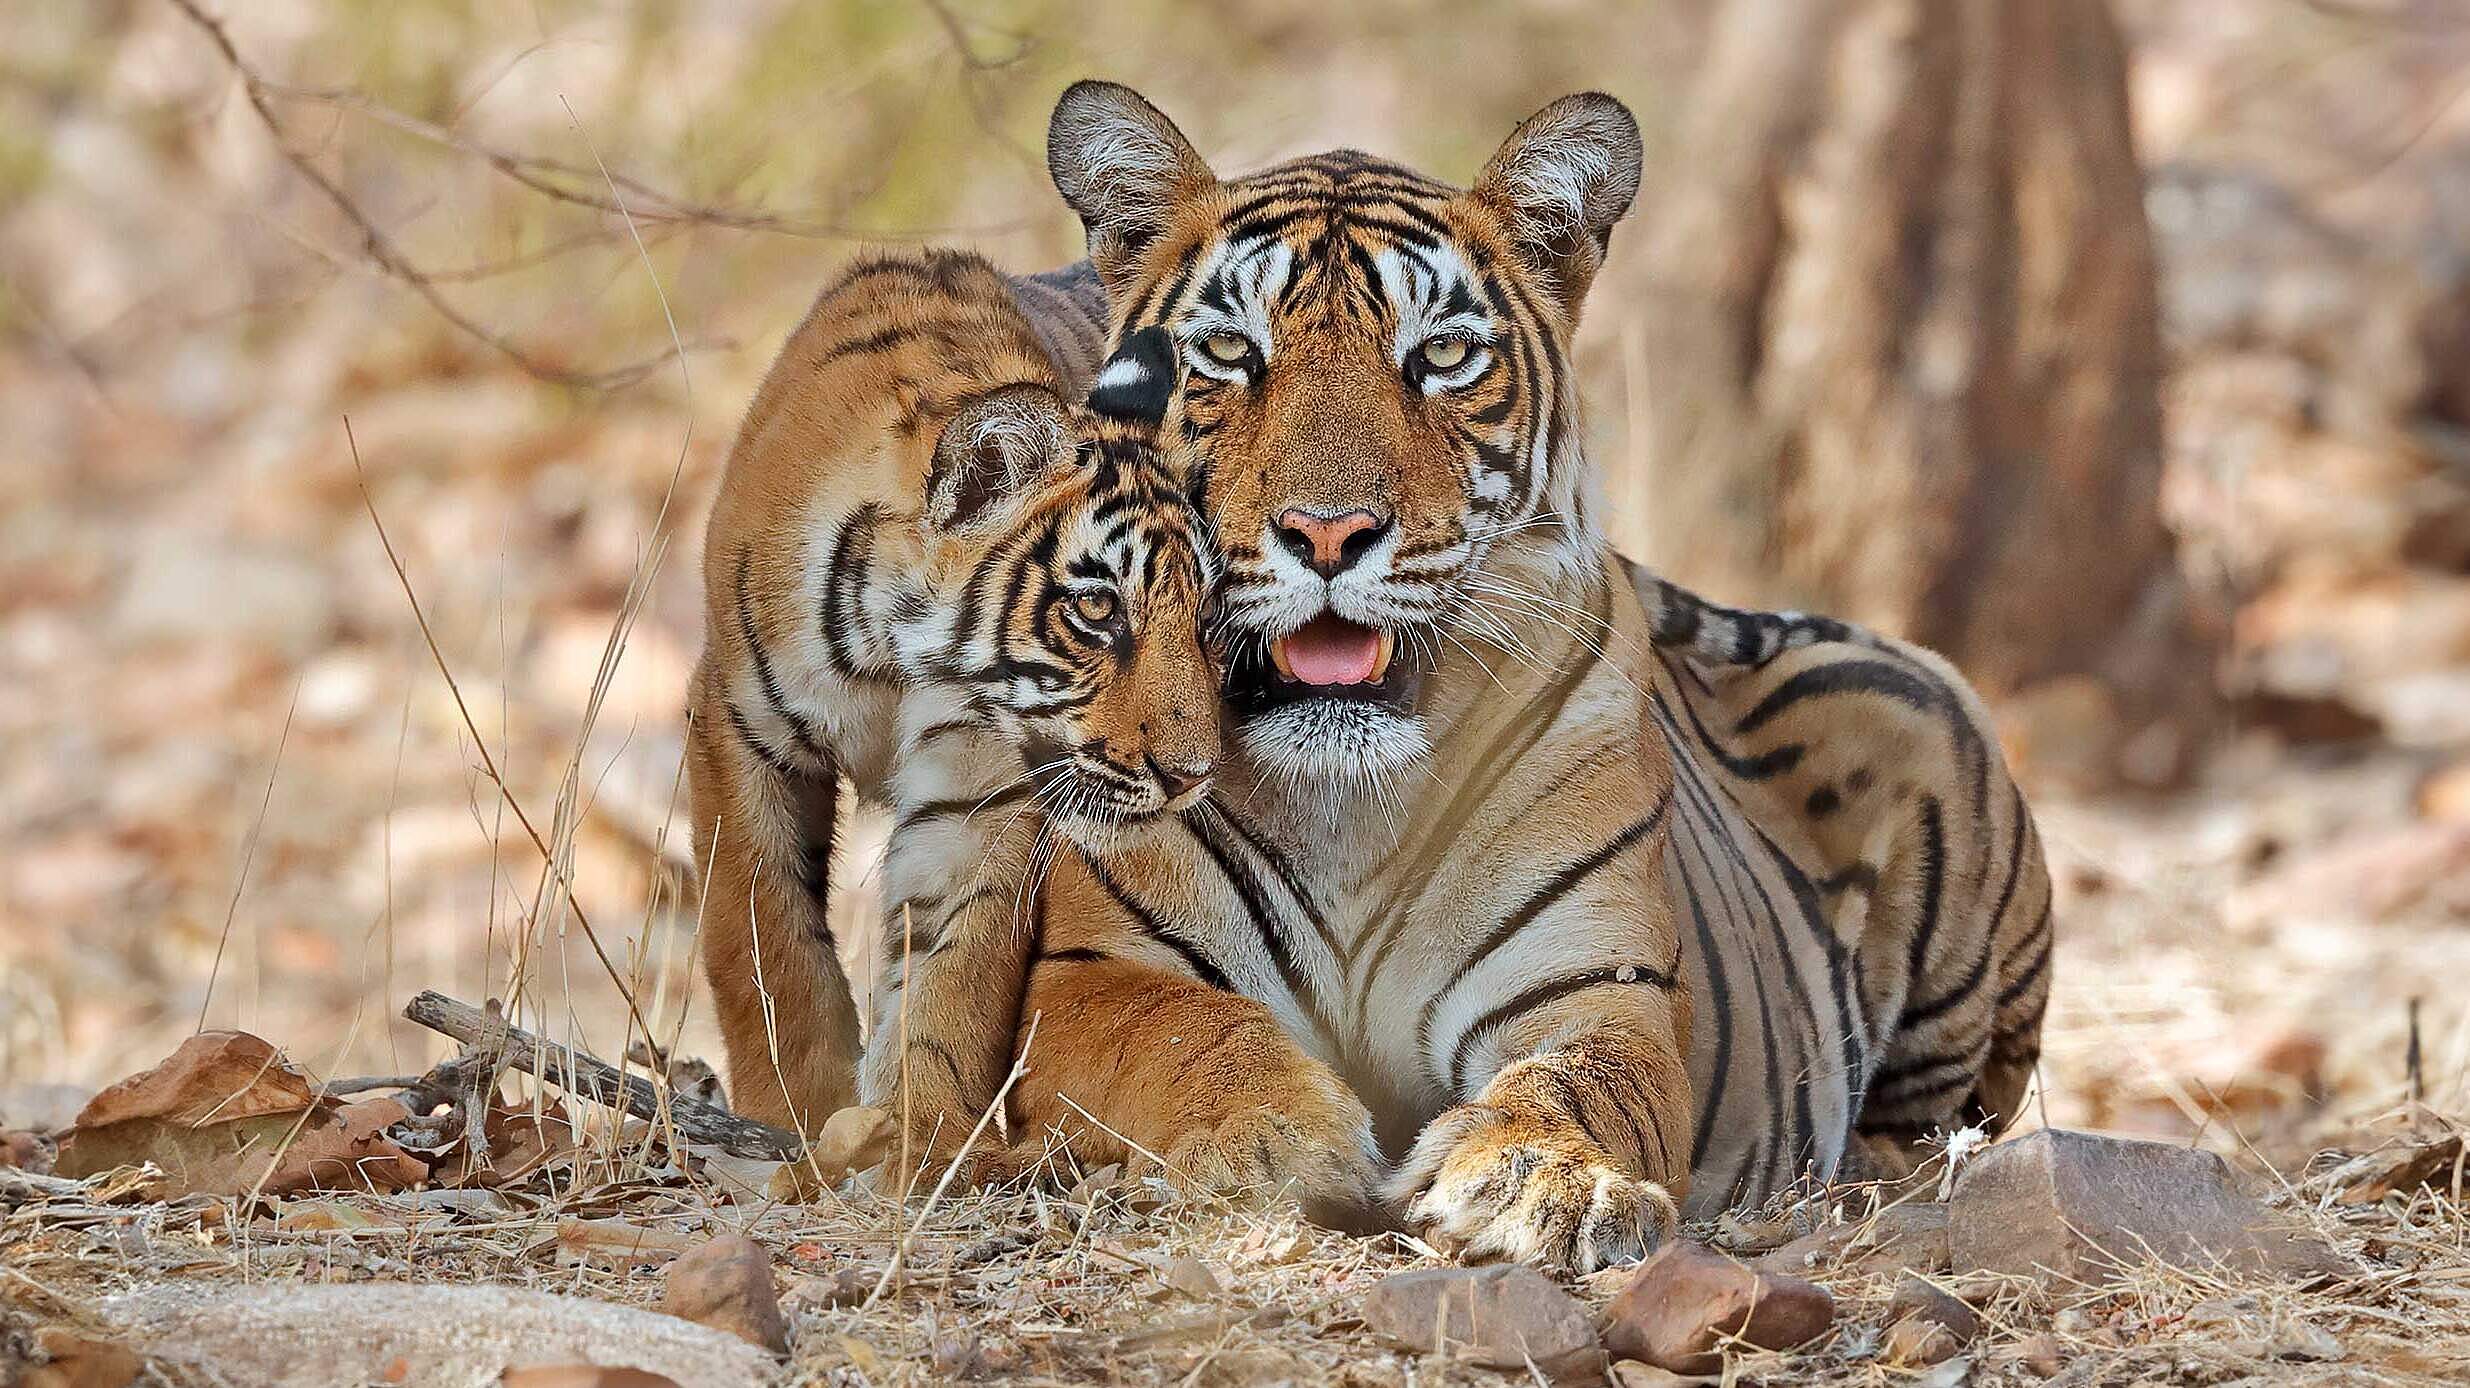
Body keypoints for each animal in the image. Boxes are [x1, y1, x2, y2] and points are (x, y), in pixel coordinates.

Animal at [685, 246, 1223, 1144]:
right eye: (1098, 609)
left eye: (1207, 616)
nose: (1192, 776)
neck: (893, 657)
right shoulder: (737, 726)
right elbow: (762, 939)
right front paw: (793, 1115)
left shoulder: (982, 789)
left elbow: (953, 971)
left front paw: (919, 1134)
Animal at [860, 80, 2052, 1272]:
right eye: (1230, 351)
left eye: (1438, 357)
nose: (1327, 531)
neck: (1346, 805)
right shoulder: (1092, 973)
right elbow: (1185, 1035)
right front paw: (1271, 1138)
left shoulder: (1595, 987)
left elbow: (1580, 1082)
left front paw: (1535, 1179)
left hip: (1925, 722)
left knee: (1935, 1123)